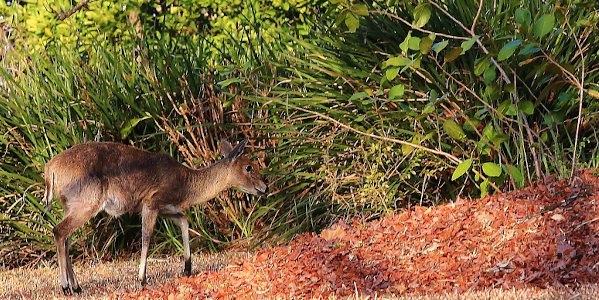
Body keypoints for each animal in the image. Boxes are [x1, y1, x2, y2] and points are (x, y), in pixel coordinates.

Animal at [45, 139, 270, 294]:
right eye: (249, 167)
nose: (265, 187)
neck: (186, 183)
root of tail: (49, 171)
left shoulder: (166, 208)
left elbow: (184, 221)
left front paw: (187, 268)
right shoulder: (151, 203)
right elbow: (146, 237)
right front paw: (142, 279)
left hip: (71, 206)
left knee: (66, 239)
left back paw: (77, 287)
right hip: (86, 203)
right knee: (59, 231)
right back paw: (66, 287)